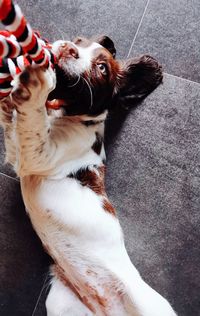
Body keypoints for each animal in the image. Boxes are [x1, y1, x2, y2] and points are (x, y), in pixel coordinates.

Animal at [0, 35, 178, 314]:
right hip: (60, 303)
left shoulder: (39, 156)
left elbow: (32, 123)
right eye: (79, 41)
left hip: (149, 305)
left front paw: (35, 84)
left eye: (102, 68)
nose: (67, 48)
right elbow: (13, 120)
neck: (67, 115)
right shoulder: (17, 153)